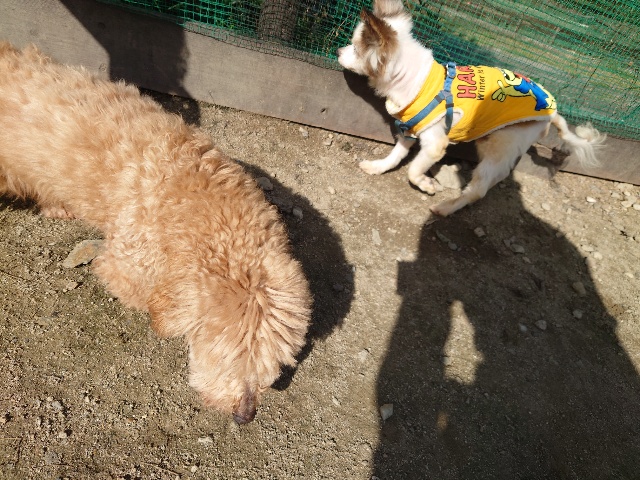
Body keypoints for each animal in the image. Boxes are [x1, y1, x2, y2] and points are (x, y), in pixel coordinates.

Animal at [338, 0, 605, 216]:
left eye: (355, 48)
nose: (339, 51)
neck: (417, 84)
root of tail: (552, 110)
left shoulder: (435, 144)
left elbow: (413, 169)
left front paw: (427, 185)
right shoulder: (410, 129)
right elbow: (397, 155)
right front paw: (378, 167)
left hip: (501, 144)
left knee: (479, 189)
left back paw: (447, 207)